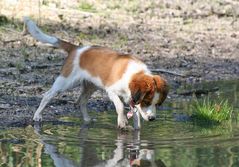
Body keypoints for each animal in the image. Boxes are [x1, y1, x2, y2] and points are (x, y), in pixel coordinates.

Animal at [23, 17, 169, 129]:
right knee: (47, 95)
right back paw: (37, 115)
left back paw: (87, 121)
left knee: (81, 101)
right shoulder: (111, 91)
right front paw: (122, 121)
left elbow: (136, 118)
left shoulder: (133, 99)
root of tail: (76, 48)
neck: (134, 74)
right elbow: (120, 106)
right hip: (66, 82)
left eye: (157, 104)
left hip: (91, 86)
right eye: (146, 102)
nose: (152, 118)